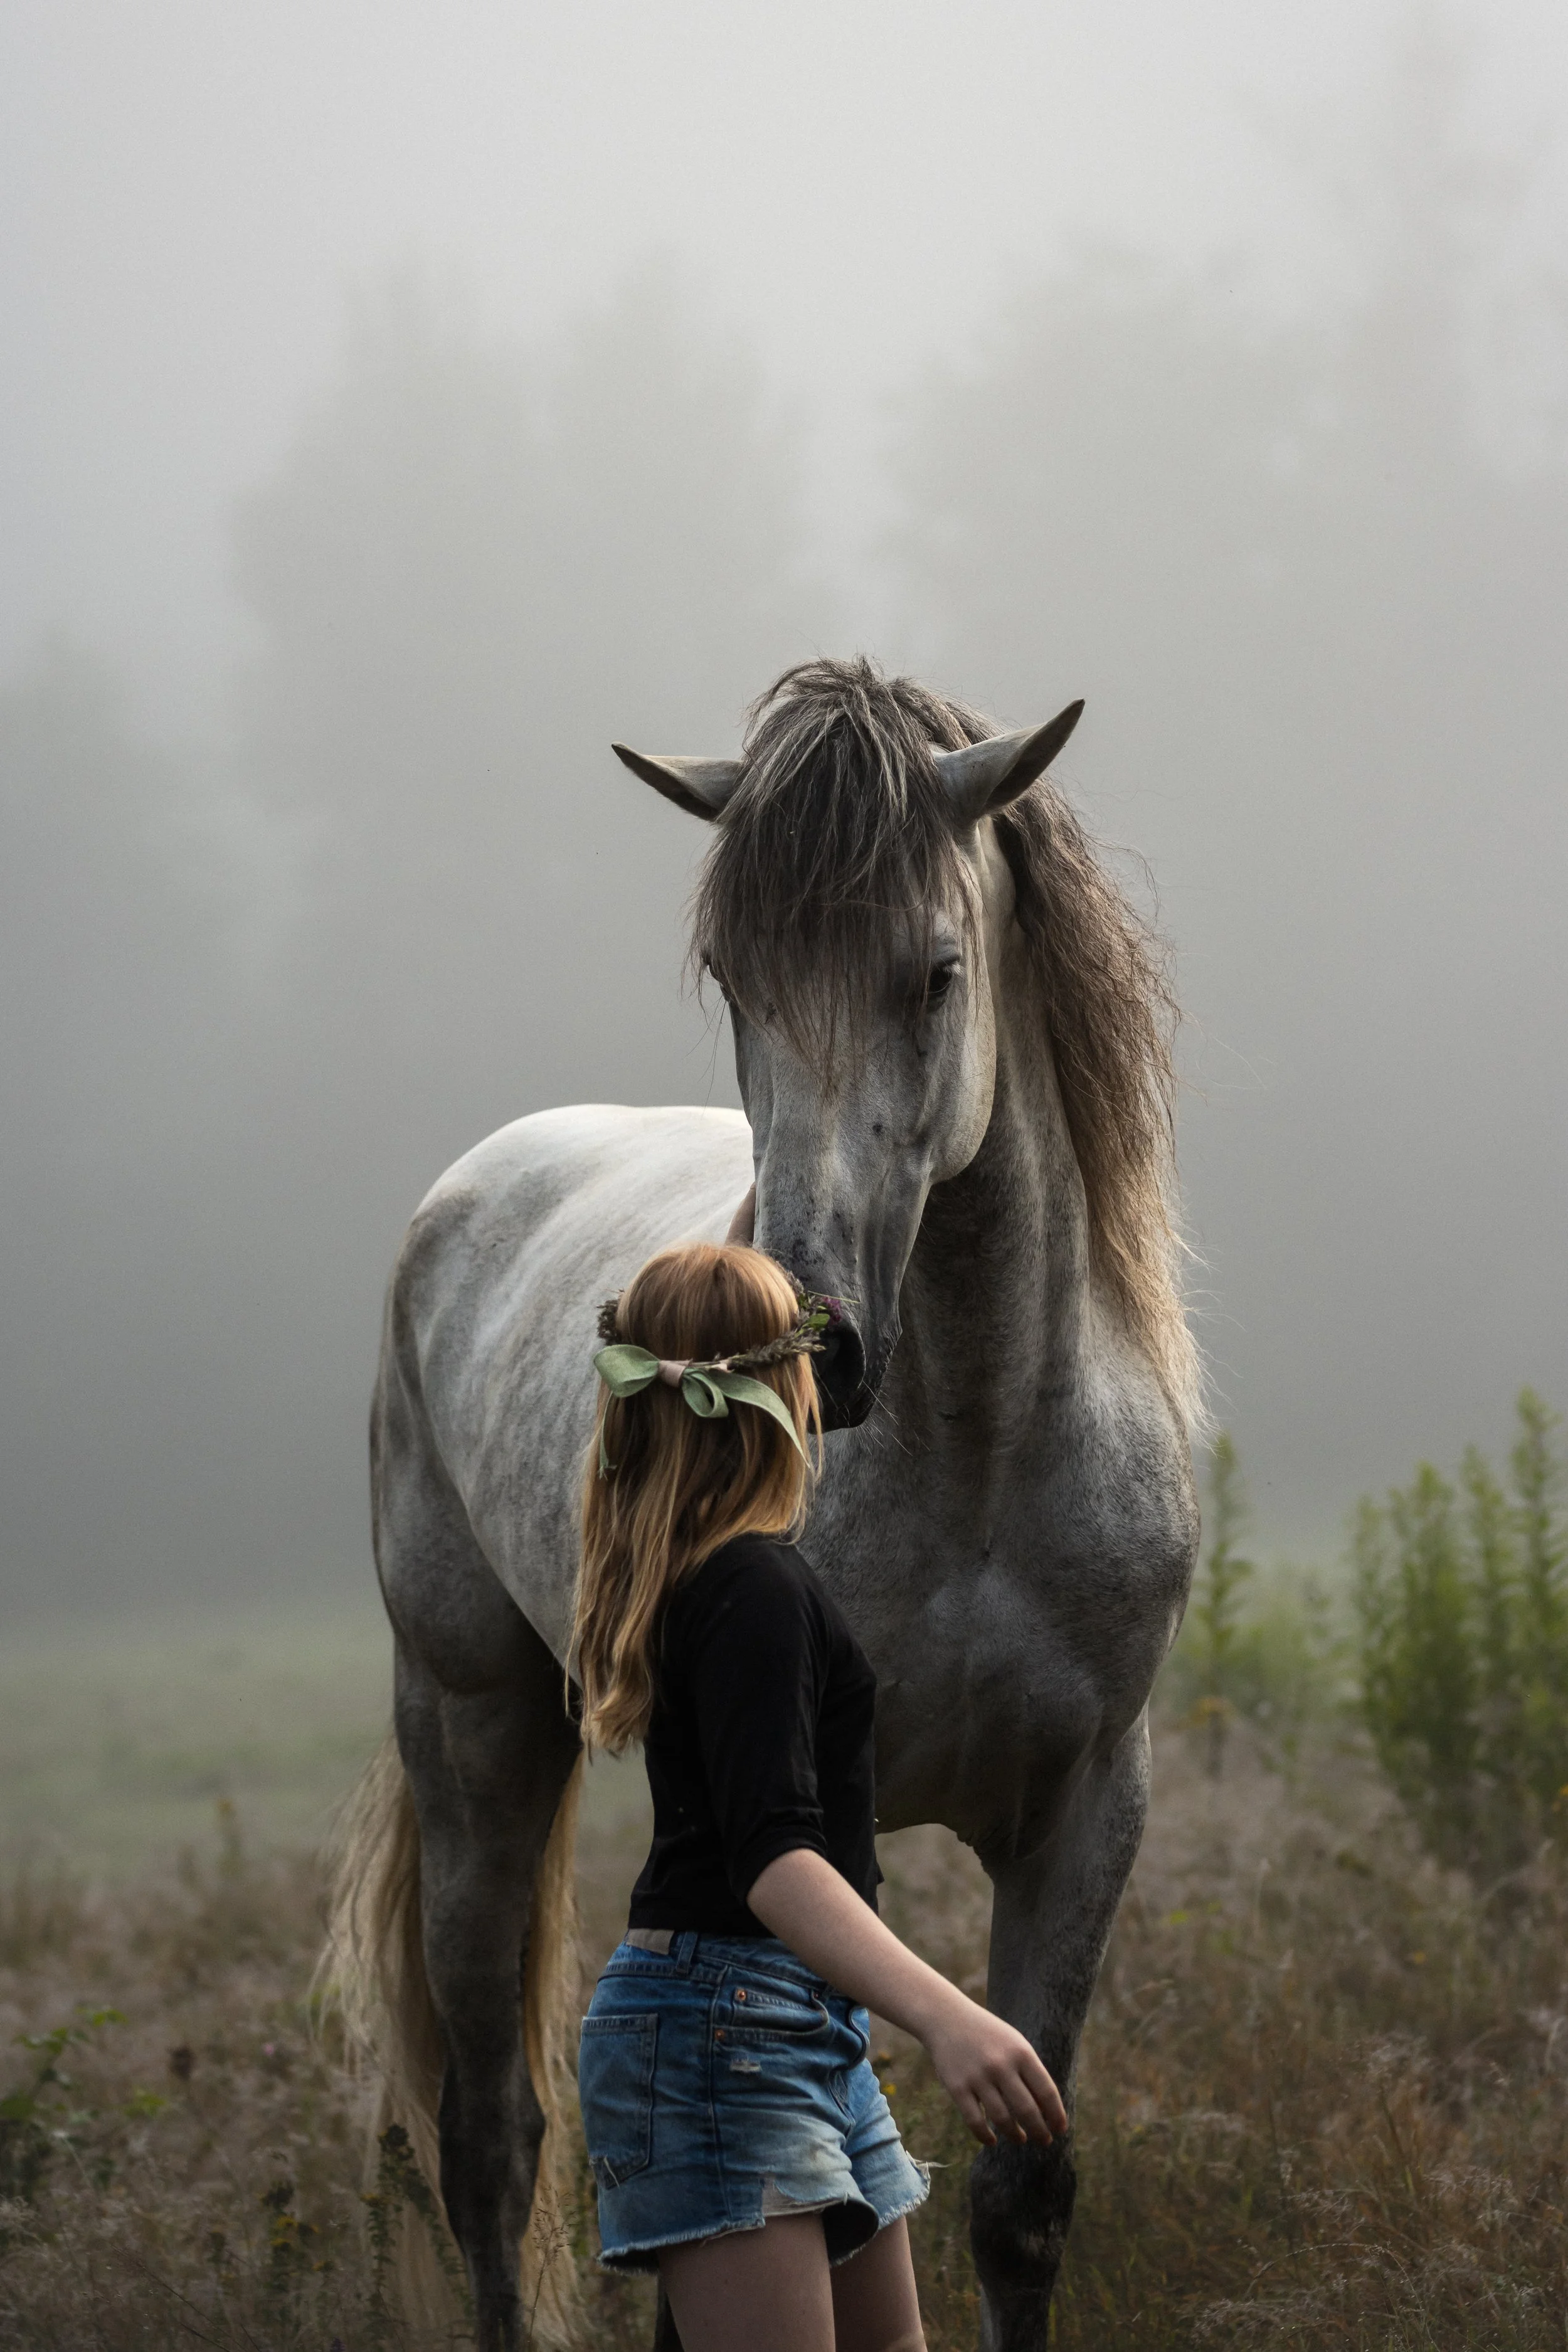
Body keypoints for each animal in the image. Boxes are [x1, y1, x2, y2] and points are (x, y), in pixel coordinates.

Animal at [323, 657, 1201, 2352]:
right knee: (489, 2143)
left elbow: (1019, 2197)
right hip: (474, 1730)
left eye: (936, 973)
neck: (981, 1451)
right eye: (735, 980)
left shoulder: (1085, 1814)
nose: (815, 1339)